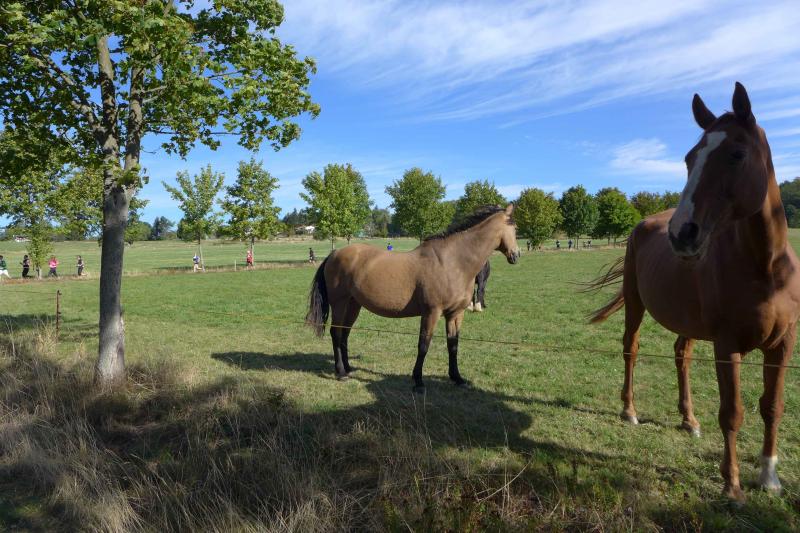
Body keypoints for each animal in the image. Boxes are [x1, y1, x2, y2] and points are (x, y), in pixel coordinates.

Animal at [306, 205, 520, 392]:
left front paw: (457, 378)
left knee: (345, 334)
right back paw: (341, 372)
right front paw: (418, 382)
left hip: (353, 304)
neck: (452, 263)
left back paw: (349, 368)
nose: (516, 255)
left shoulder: (455, 314)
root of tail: (334, 253)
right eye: (515, 228)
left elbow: (453, 345)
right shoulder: (432, 312)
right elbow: (423, 345)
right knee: (336, 333)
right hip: (340, 303)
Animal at [588, 82, 800, 501]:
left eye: (736, 154)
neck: (768, 268)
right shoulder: (727, 345)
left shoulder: (783, 343)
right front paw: (732, 486)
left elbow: (773, 406)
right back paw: (629, 411)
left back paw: (689, 419)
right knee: (631, 348)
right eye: (689, 159)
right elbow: (732, 412)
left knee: (681, 355)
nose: (682, 233)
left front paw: (769, 476)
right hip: (636, 303)